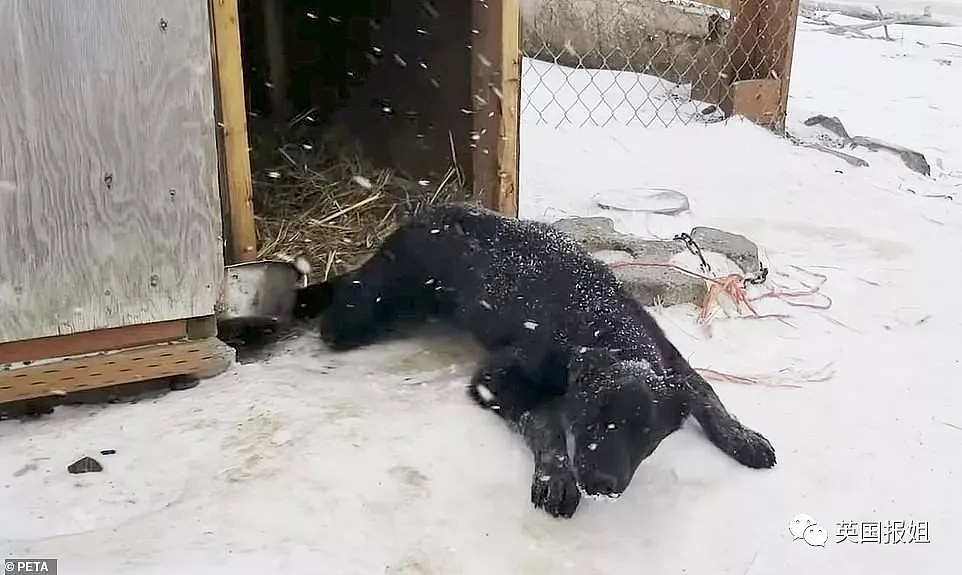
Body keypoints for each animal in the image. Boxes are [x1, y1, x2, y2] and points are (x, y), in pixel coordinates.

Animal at [296, 202, 776, 516]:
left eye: (646, 434)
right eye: (594, 420)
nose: (602, 486)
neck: (604, 322)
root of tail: (415, 219)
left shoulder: (675, 365)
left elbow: (708, 396)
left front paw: (743, 437)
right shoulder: (496, 381)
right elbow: (544, 423)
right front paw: (556, 477)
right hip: (368, 311)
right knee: (342, 302)